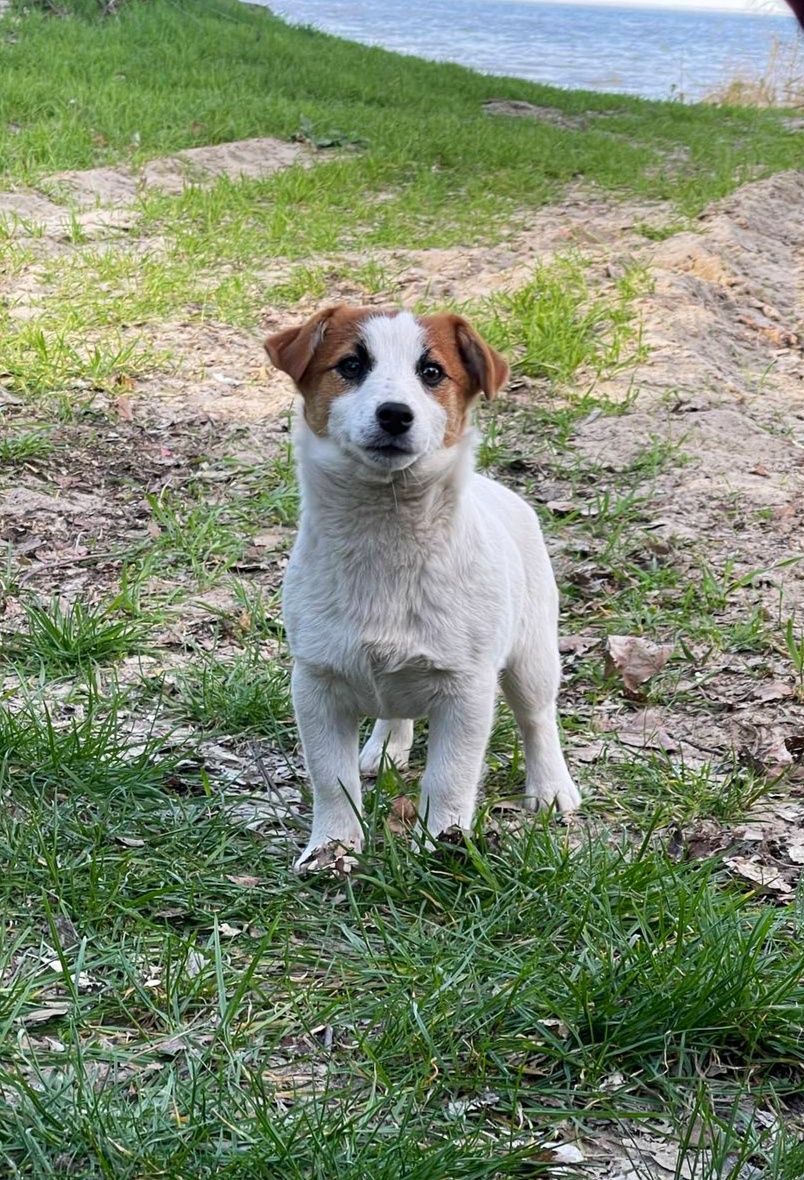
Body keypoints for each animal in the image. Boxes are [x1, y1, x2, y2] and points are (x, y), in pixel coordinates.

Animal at [266, 309, 580, 873]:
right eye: (351, 365)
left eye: (432, 372)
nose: (395, 414)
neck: (387, 534)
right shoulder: (316, 683)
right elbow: (331, 778)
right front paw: (332, 847)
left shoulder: (467, 690)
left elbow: (449, 777)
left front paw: (441, 842)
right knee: (395, 709)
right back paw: (385, 747)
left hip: (533, 655)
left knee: (538, 719)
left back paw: (551, 787)